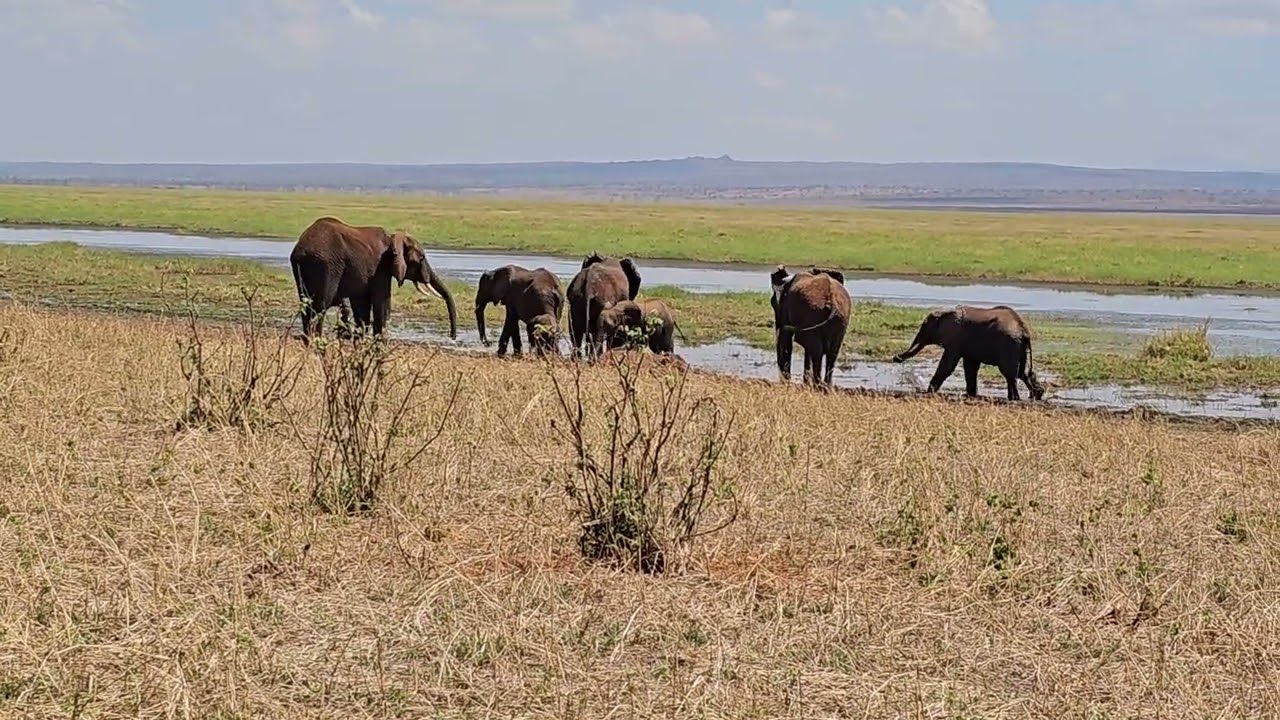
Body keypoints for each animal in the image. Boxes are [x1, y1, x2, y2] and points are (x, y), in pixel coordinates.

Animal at [290, 216, 458, 341]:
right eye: (421, 258)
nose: (452, 337)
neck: (393, 239)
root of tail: (301, 249)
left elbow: (361, 307)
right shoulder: (380, 268)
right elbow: (382, 305)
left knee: (306, 304)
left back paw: (308, 339)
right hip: (327, 266)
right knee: (321, 306)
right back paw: (316, 340)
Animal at [891, 304, 1046, 401]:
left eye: (924, 327)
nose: (895, 357)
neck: (945, 312)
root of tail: (1024, 330)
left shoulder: (955, 339)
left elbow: (948, 365)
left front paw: (929, 391)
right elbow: (970, 366)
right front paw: (971, 395)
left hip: (1009, 345)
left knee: (1010, 373)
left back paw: (1015, 399)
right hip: (1018, 347)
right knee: (1022, 373)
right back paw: (1036, 395)